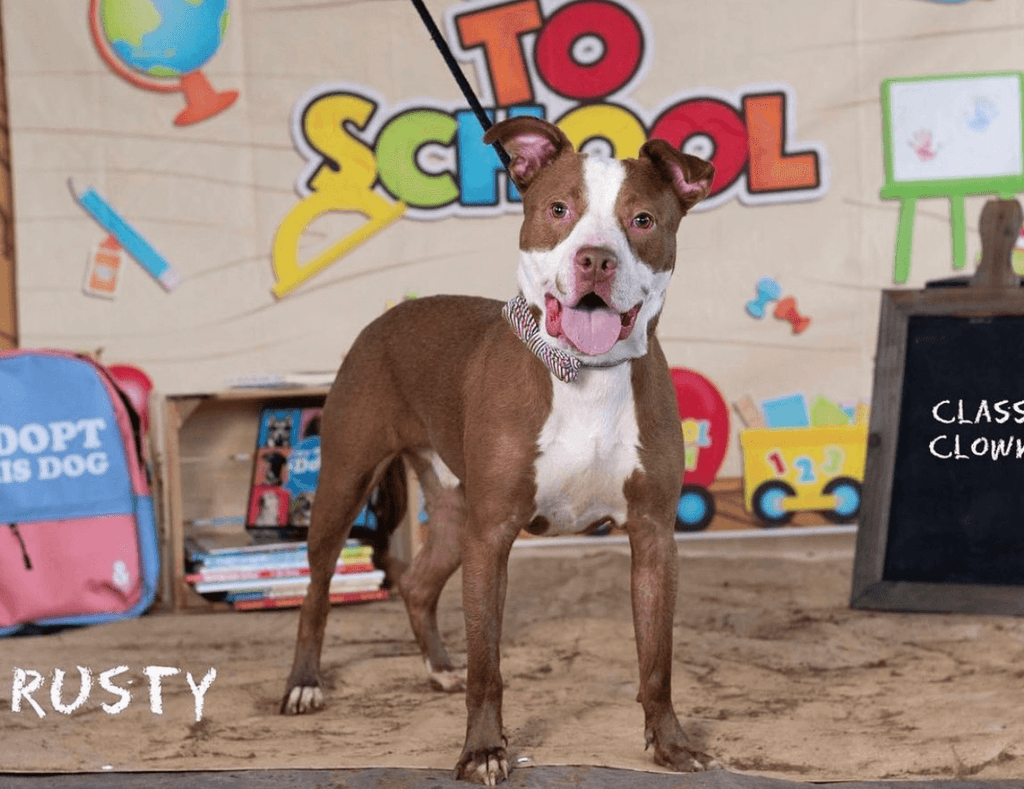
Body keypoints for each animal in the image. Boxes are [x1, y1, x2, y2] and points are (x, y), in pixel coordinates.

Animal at [280, 115, 712, 781]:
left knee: (417, 585)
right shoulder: (493, 534)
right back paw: (305, 684)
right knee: (317, 591)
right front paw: (483, 751)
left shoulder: (653, 536)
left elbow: (656, 660)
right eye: (559, 209)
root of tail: (387, 317)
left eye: (642, 220)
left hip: (454, 509)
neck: (585, 374)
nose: (596, 259)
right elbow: (490, 665)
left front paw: (669, 743)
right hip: (345, 484)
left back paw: (438, 668)